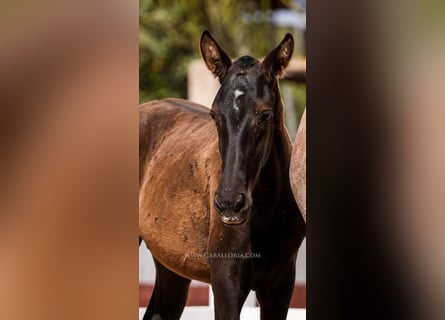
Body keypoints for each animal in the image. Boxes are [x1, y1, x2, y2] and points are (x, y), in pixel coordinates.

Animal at [139, 30, 306, 320]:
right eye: (214, 114)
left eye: (265, 114)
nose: (230, 202)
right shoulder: (226, 285)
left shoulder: (280, 285)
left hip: (171, 270)